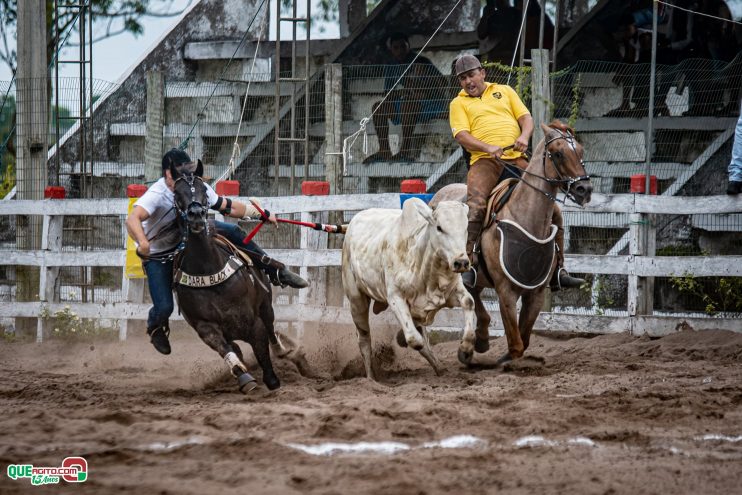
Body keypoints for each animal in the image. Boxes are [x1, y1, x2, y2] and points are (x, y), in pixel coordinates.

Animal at [171, 165, 290, 394]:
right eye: (176, 194)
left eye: (205, 191)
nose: (196, 215)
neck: (208, 269)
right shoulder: (205, 327)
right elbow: (226, 349)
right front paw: (244, 377)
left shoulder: (253, 321)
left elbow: (262, 349)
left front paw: (272, 380)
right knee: (235, 346)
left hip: (266, 304)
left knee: (271, 328)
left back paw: (281, 349)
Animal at [342, 199, 476, 380]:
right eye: (439, 227)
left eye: (465, 228)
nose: (461, 262)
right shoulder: (395, 298)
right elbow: (414, 339)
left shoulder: (451, 293)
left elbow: (468, 302)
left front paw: (466, 347)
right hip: (356, 300)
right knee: (364, 339)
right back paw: (371, 378)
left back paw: (440, 368)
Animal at [430, 122, 592, 366]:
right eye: (558, 153)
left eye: (581, 151)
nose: (584, 189)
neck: (525, 218)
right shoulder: (505, 291)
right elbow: (516, 342)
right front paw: (508, 359)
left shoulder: (536, 293)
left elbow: (524, 336)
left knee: (475, 297)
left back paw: (479, 341)